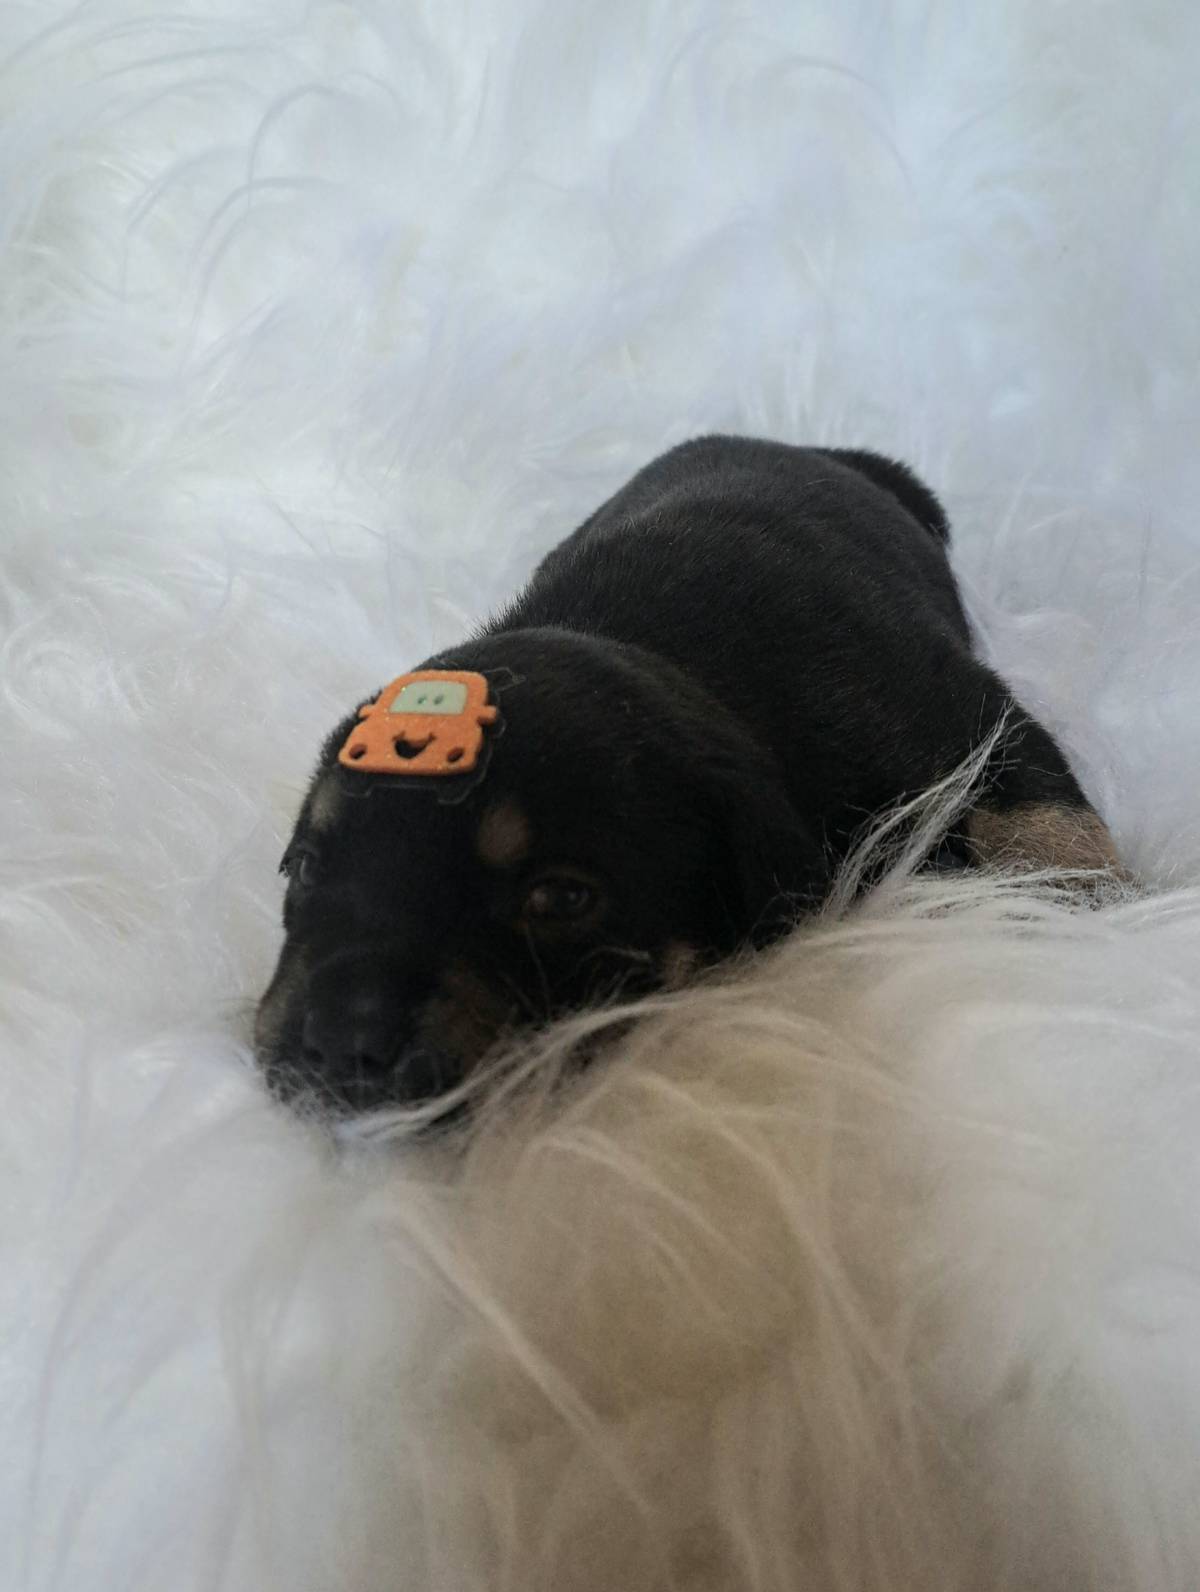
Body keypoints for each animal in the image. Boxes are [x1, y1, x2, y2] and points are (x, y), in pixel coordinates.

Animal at [254, 436, 1122, 1115]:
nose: (337, 1045)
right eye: (304, 869)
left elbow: (1048, 826)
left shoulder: (961, 711)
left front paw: (1100, 920)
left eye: (560, 899)